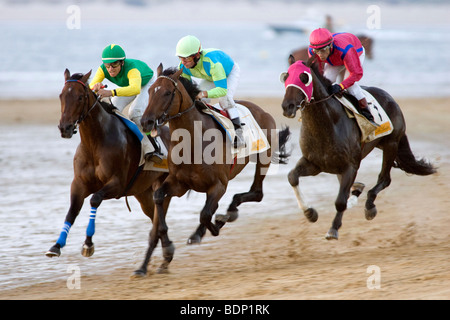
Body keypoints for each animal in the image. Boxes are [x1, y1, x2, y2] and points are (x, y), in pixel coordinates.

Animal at [45, 69, 172, 272]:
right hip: (144, 194)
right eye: (61, 95)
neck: (95, 143)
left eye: (80, 97)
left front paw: (88, 243)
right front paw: (56, 246)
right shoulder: (79, 184)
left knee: (160, 216)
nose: (65, 128)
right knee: (155, 216)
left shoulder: (117, 184)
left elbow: (95, 199)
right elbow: (72, 210)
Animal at [134, 63, 290, 276]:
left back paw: (226, 215)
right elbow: (159, 198)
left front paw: (215, 226)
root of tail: (262, 111)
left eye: (166, 93)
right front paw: (168, 249)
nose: (146, 122)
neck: (193, 141)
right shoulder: (179, 183)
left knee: (256, 193)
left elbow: (206, 214)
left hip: (263, 159)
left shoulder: (219, 185)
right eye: (149, 91)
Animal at [282, 56, 436, 240]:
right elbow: (292, 177)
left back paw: (369, 205)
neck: (327, 124)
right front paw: (310, 212)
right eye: (285, 76)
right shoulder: (314, 163)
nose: (287, 106)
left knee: (384, 179)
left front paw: (333, 228)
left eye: (304, 78)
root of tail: (390, 98)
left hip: (391, 144)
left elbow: (340, 201)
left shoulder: (351, 166)